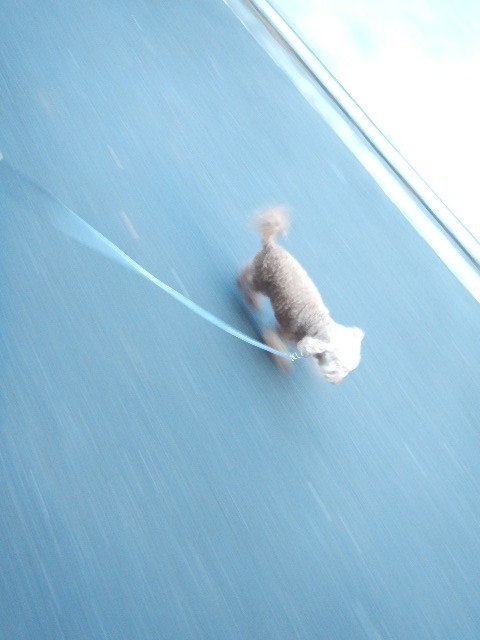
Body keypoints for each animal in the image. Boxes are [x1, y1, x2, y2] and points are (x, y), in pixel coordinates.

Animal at [238, 207, 364, 383]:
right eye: (337, 368)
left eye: (347, 370)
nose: (338, 381)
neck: (315, 325)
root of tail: (271, 245)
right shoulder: (282, 332)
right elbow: (271, 338)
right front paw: (281, 359)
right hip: (261, 281)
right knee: (246, 279)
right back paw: (249, 295)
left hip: (261, 274)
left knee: (246, 268)